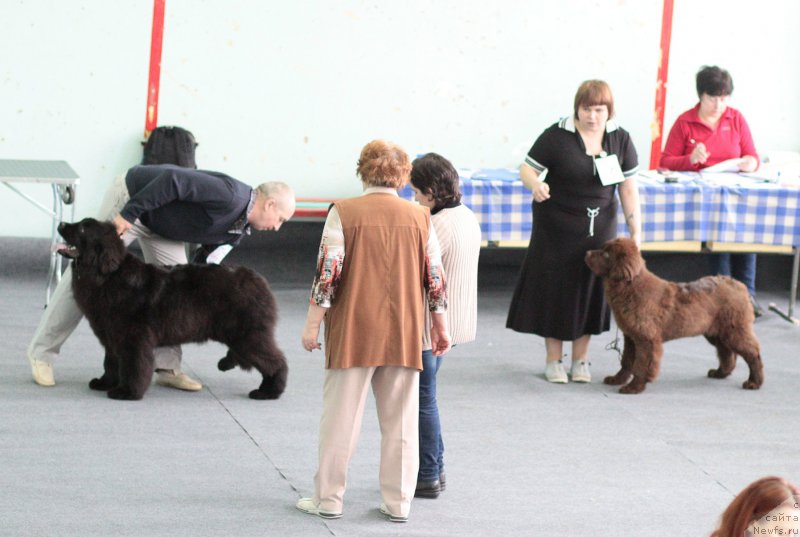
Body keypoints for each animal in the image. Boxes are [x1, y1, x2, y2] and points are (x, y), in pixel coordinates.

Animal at [57, 217, 288, 398]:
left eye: (83, 229)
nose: (60, 223)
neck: (107, 275)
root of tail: (258, 280)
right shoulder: (111, 334)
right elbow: (111, 362)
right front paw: (105, 382)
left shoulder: (133, 337)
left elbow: (133, 365)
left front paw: (128, 392)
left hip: (248, 335)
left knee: (276, 361)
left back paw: (269, 391)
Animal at [588, 239, 764, 394]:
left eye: (606, 255)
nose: (587, 253)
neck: (630, 287)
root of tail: (739, 285)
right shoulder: (631, 336)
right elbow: (626, 361)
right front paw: (617, 379)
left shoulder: (646, 338)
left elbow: (642, 363)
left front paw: (634, 387)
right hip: (716, 332)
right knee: (726, 352)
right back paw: (720, 373)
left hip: (735, 329)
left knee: (753, 353)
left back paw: (754, 382)